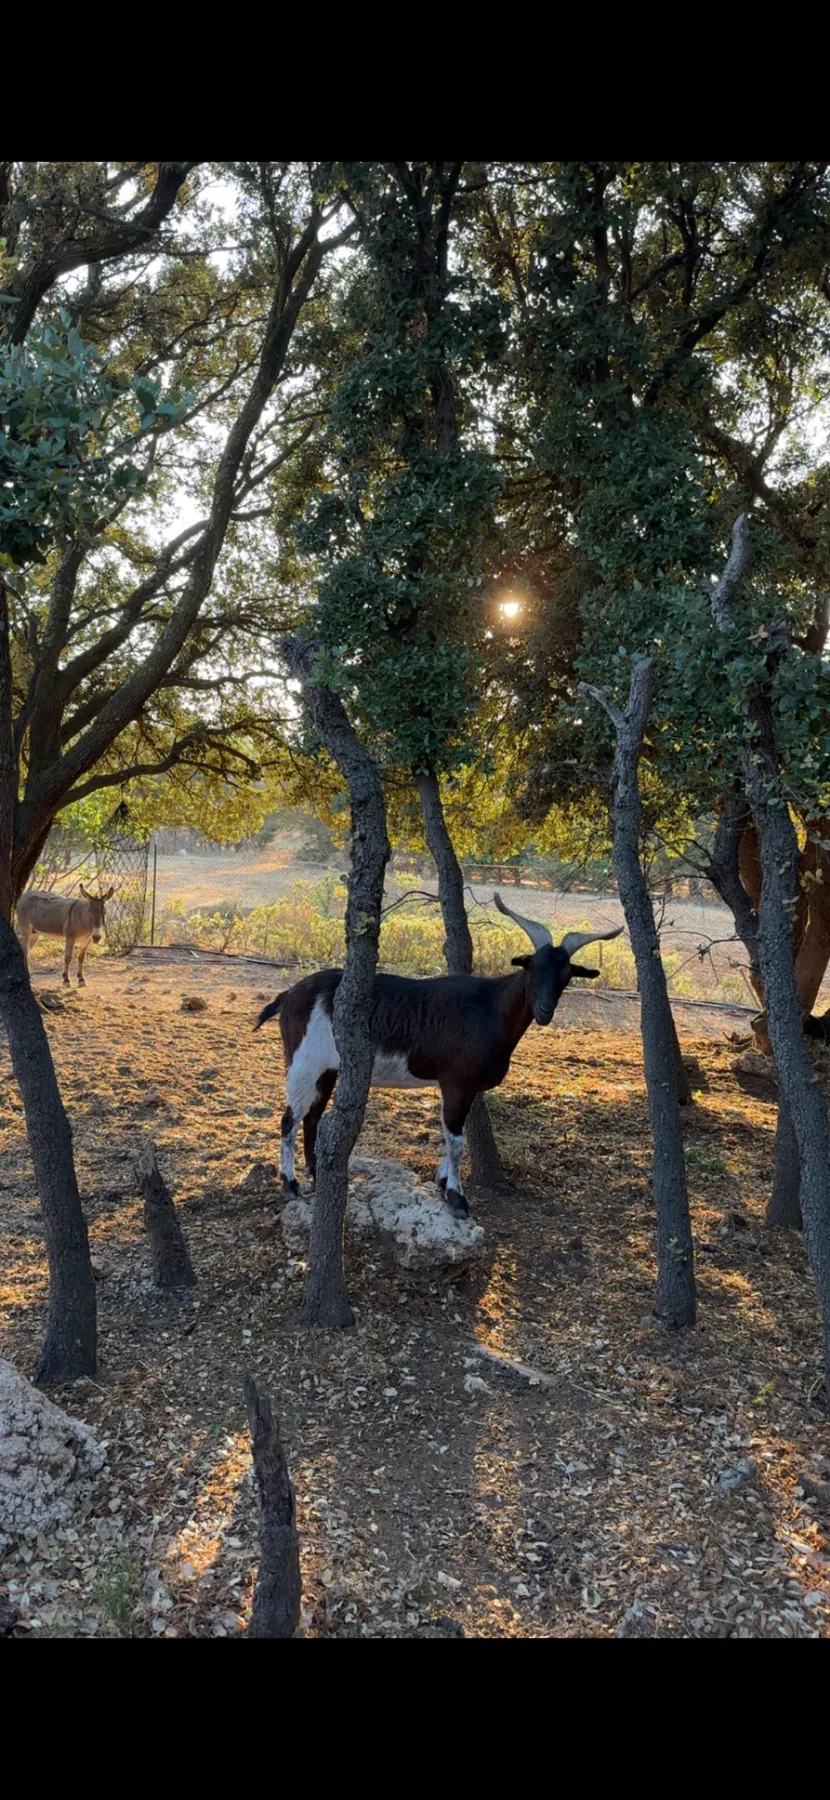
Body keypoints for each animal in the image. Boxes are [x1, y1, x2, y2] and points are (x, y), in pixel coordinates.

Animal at [255, 893, 622, 1216]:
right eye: (531, 968)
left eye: (566, 976)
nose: (545, 1011)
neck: (490, 1008)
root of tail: (290, 994)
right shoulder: (455, 1082)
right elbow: (456, 1139)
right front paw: (456, 1198)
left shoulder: (467, 1088)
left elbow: (453, 1135)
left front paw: (443, 1182)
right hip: (303, 1062)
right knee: (289, 1119)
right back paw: (290, 1184)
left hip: (328, 1069)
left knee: (312, 1117)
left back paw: (316, 1174)